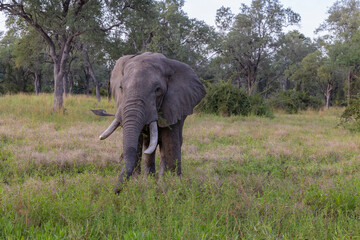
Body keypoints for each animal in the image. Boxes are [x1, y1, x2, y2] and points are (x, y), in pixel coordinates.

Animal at [98, 52, 205, 193]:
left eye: (158, 90)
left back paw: (160, 180)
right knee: (148, 144)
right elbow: (138, 142)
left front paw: (173, 187)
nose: (114, 191)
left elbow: (170, 141)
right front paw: (138, 183)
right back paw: (150, 179)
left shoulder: (174, 103)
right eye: (121, 87)